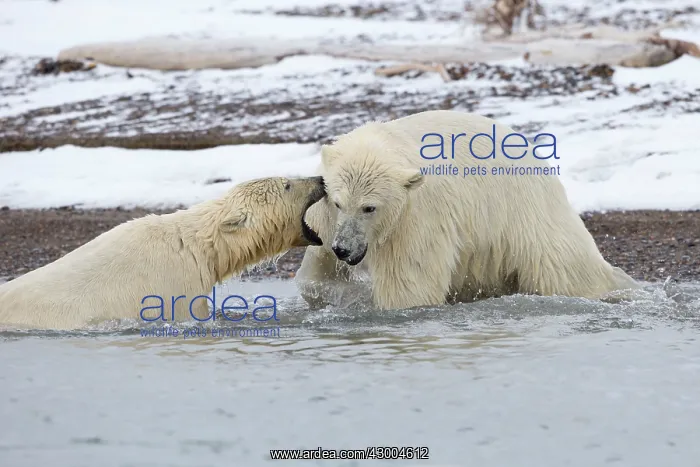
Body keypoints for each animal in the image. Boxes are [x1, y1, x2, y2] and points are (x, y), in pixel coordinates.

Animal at [296, 110, 640, 310]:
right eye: (338, 202)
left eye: (370, 207)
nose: (344, 249)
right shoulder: (325, 219)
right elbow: (314, 273)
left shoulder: (416, 218)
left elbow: (410, 286)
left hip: (525, 213)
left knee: (564, 268)